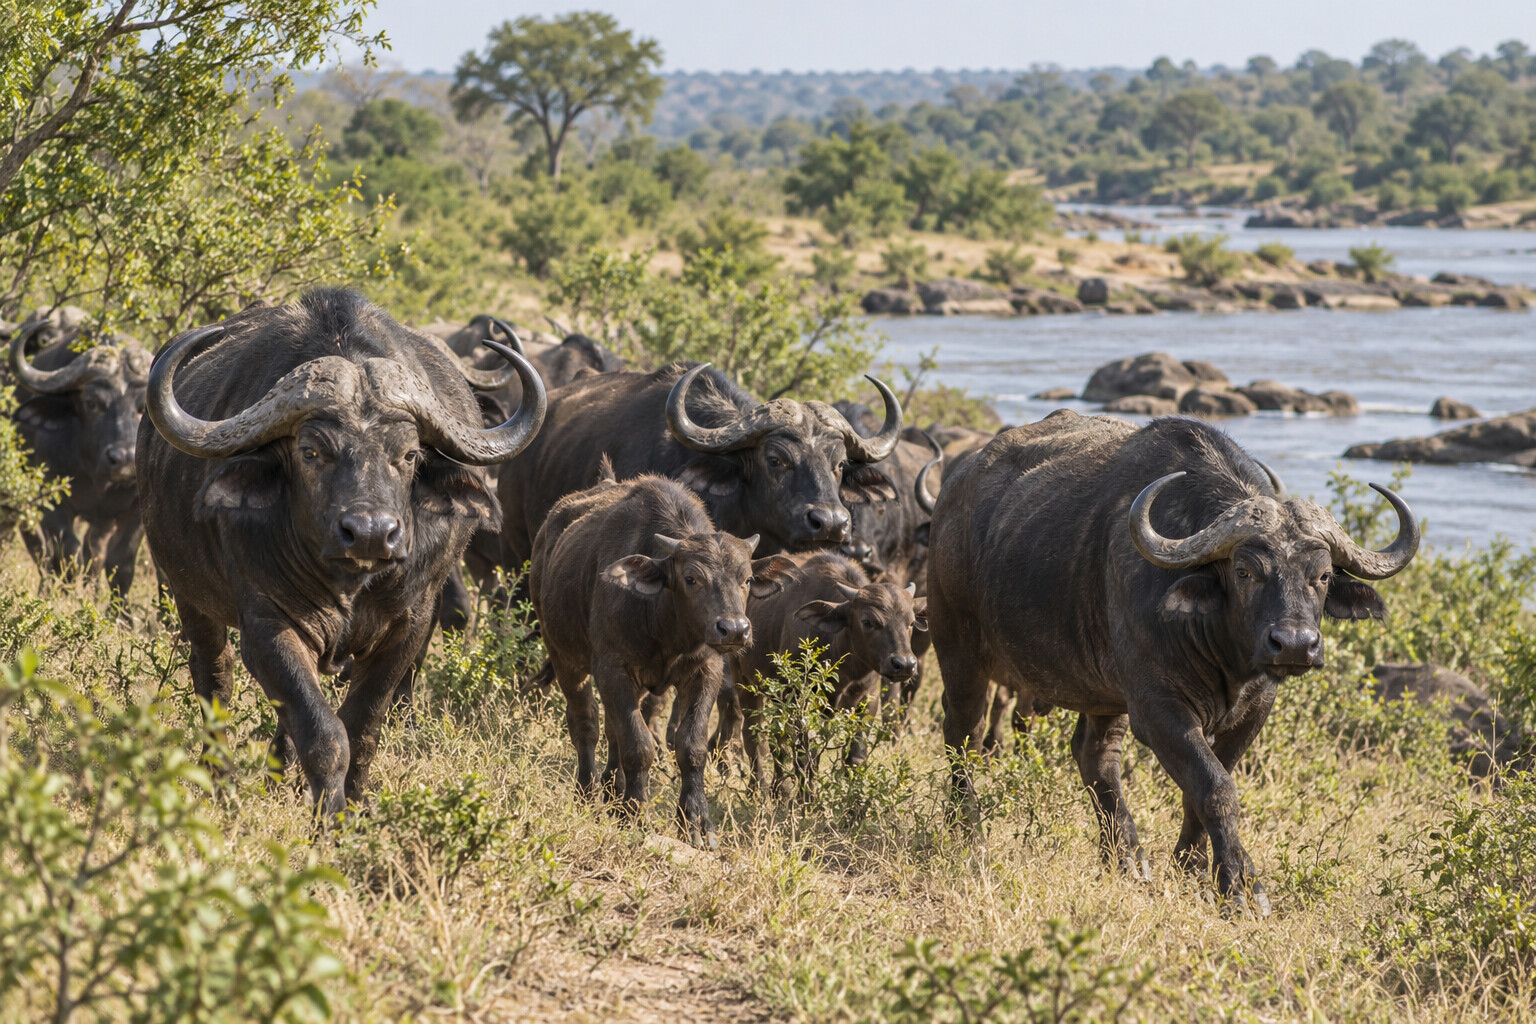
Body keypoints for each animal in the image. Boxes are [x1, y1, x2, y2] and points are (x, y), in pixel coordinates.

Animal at [8, 315, 153, 598]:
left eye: (143, 407)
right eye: (92, 403)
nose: (123, 460)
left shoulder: (136, 510)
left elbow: (120, 563)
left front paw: (119, 610)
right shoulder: (51, 502)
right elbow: (68, 554)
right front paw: (66, 596)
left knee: (94, 552)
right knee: (48, 552)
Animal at [139, 289, 545, 816]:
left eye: (409, 455)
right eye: (311, 452)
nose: (371, 533)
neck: (348, 582)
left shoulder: (410, 626)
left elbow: (363, 724)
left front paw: (353, 804)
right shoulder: (268, 626)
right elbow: (324, 732)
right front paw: (327, 815)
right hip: (189, 596)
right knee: (215, 676)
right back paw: (221, 777)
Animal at [529, 466, 791, 842]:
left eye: (746, 579)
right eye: (691, 578)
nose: (734, 630)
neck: (666, 627)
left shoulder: (706, 671)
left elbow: (691, 745)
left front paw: (696, 821)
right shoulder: (613, 669)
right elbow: (638, 744)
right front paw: (636, 813)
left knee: (612, 729)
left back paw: (612, 791)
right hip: (564, 655)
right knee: (586, 723)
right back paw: (588, 793)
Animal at [928, 412, 1418, 912]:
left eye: (1321, 575)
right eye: (1245, 571)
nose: (1296, 645)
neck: (1222, 653)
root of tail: (954, 491)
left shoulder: (1254, 710)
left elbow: (1206, 786)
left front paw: (1193, 868)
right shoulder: (1157, 707)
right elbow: (1215, 787)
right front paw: (1241, 886)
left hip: (1103, 693)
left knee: (1095, 755)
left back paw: (1125, 858)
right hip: (958, 648)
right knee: (962, 735)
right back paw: (968, 832)